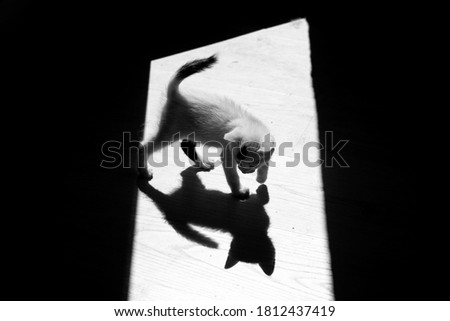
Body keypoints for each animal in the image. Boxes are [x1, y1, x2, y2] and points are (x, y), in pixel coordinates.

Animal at [140, 55, 274, 200]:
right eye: (238, 161)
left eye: (251, 164)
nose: (243, 171)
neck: (250, 124)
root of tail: (177, 94)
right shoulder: (227, 153)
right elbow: (233, 176)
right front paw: (239, 192)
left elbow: (266, 163)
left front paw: (261, 178)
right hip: (171, 130)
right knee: (144, 147)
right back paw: (144, 173)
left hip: (191, 130)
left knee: (186, 145)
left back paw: (203, 164)